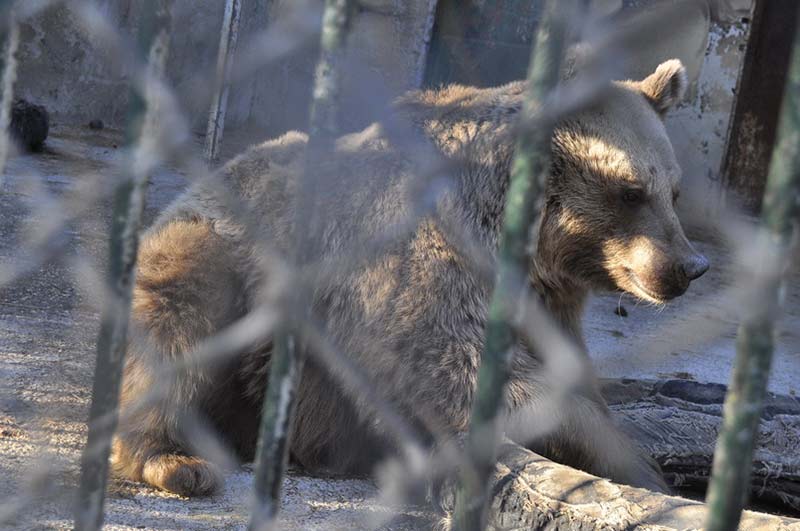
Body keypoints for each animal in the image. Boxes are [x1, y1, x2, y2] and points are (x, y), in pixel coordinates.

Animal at [111, 59, 708, 498]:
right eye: (631, 191)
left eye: (675, 191)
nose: (688, 267)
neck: (532, 240)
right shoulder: (423, 259)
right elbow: (453, 369)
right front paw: (639, 466)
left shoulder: (550, 298)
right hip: (222, 253)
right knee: (176, 329)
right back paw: (174, 460)